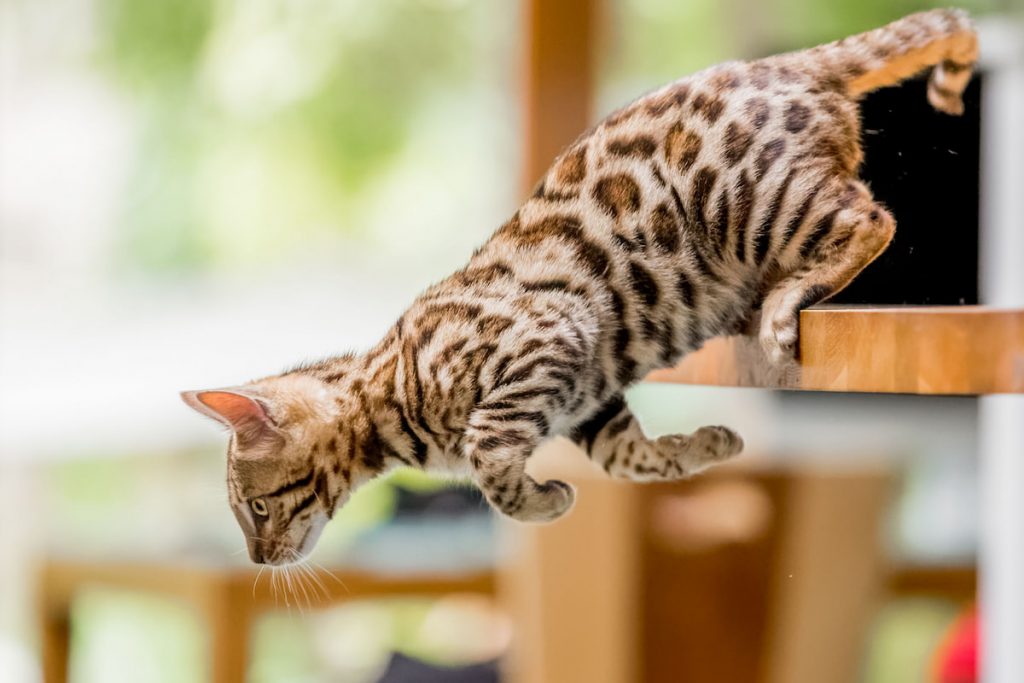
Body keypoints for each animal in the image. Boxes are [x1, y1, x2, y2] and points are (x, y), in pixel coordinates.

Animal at [184, 10, 974, 565]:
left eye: (256, 510)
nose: (259, 561)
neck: (385, 390)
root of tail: (784, 61)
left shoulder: (540, 338)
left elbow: (490, 461)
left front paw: (541, 501)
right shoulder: (590, 395)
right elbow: (628, 459)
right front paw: (701, 447)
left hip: (747, 202)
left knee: (873, 217)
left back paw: (785, 300)